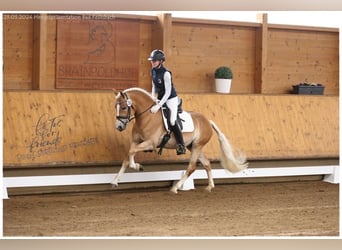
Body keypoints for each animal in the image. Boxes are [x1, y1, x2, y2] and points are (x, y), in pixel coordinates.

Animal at [111, 87, 247, 194]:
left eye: (124, 107)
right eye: (115, 107)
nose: (119, 127)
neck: (148, 117)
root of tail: (208, 121)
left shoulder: (150, 144)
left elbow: (131, 152)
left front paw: (137, 166)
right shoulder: (135, 142)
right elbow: (127, 157)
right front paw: (115, 181)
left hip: (197, 146)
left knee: (192, 167)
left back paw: (175, 188)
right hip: (193, 146)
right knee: (207, 163)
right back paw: (210, 186)